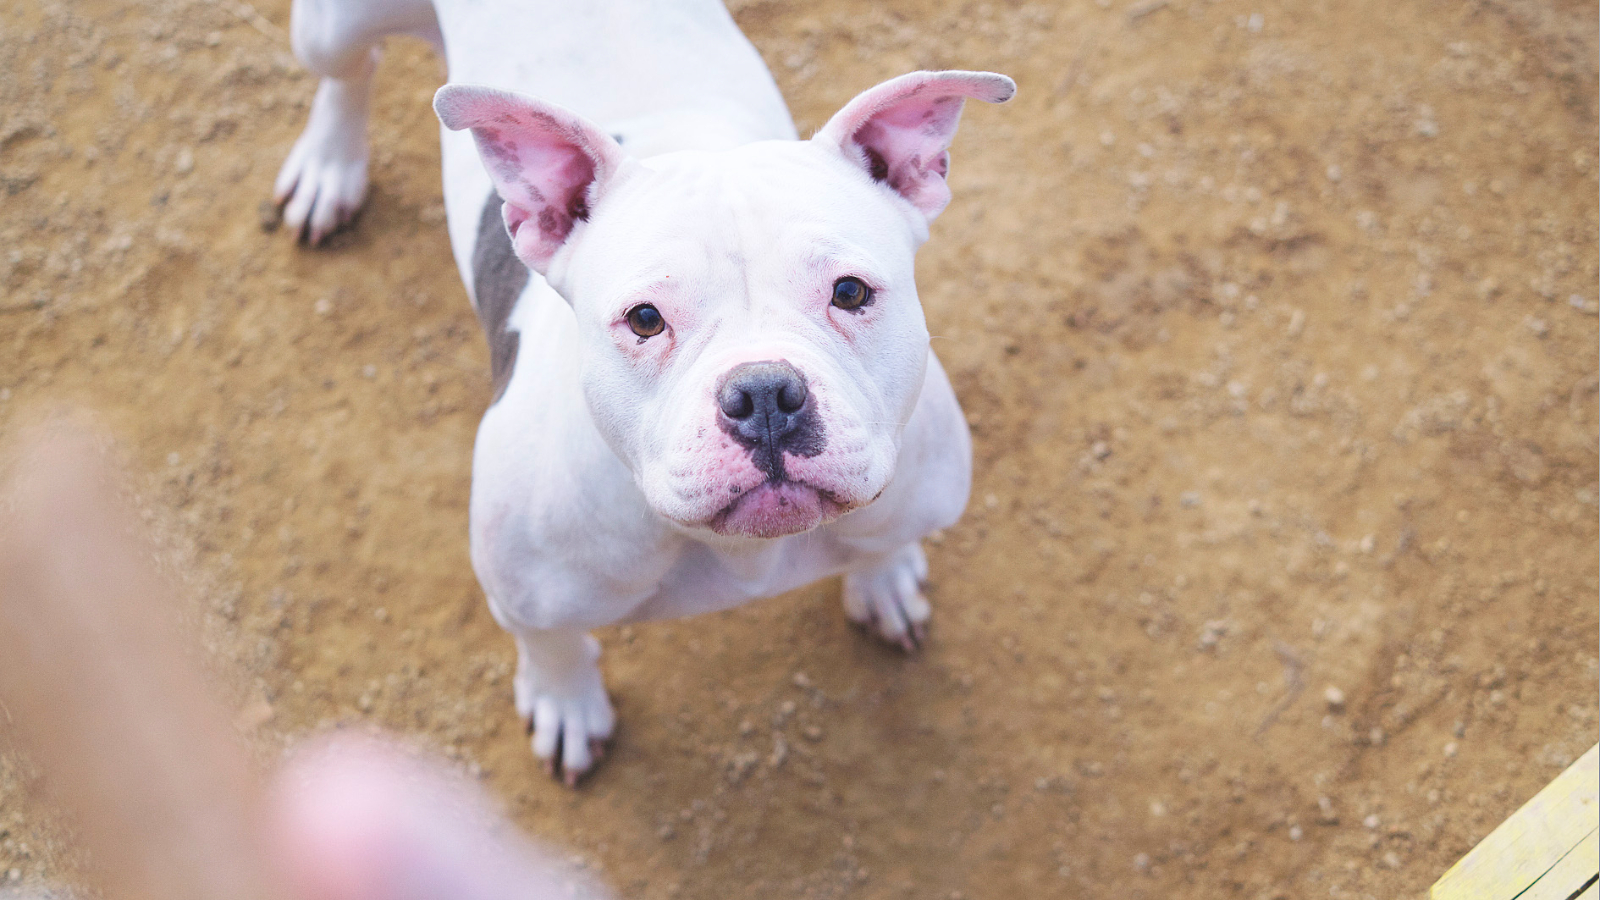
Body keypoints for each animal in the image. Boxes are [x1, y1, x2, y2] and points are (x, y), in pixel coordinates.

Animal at [274, 0, 1013, 783]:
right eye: (645, 319)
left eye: (850, 292)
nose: (764, 395)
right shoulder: (522, 597)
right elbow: (553, 646)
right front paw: (566, 703)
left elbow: (885, 538)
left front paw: (884, 577)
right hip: (331, 31)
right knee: (349, 71)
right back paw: (328, 166)